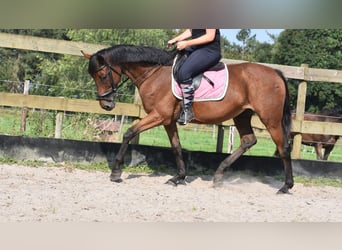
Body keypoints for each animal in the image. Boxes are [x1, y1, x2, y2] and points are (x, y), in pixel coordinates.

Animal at [81, 45, 292, 193]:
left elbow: (129, 133)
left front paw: (115, 172)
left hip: (270, 119)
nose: (106, 105)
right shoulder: (168, 120)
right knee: (249, 140)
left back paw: (286, 186)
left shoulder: (159, 115)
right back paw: (218, 175)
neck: (154, 74)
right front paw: (178, 177)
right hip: (242, 115)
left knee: (283, 147)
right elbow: (176, 147)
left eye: (102, 75)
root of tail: (276, 73)